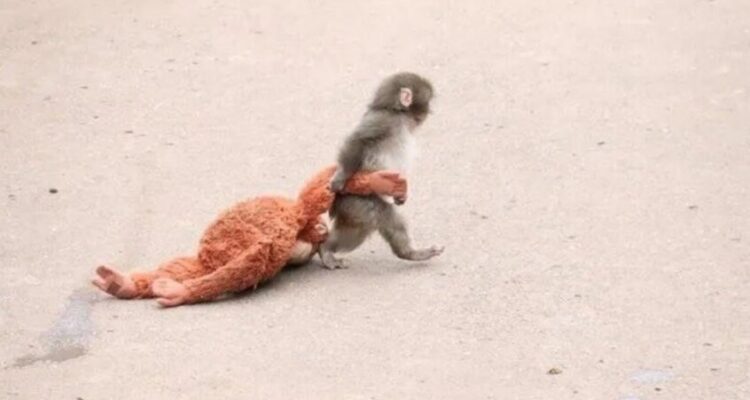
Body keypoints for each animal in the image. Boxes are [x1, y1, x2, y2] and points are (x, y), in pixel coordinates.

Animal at [319, 72, 444, 269]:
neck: (397, 113)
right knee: (384, 217)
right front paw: (341, 176)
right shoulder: (383, 121)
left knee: (358, 231)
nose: (429, 111)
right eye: (428, 100)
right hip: (357, 201)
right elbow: (359, 140)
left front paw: (401, 196)